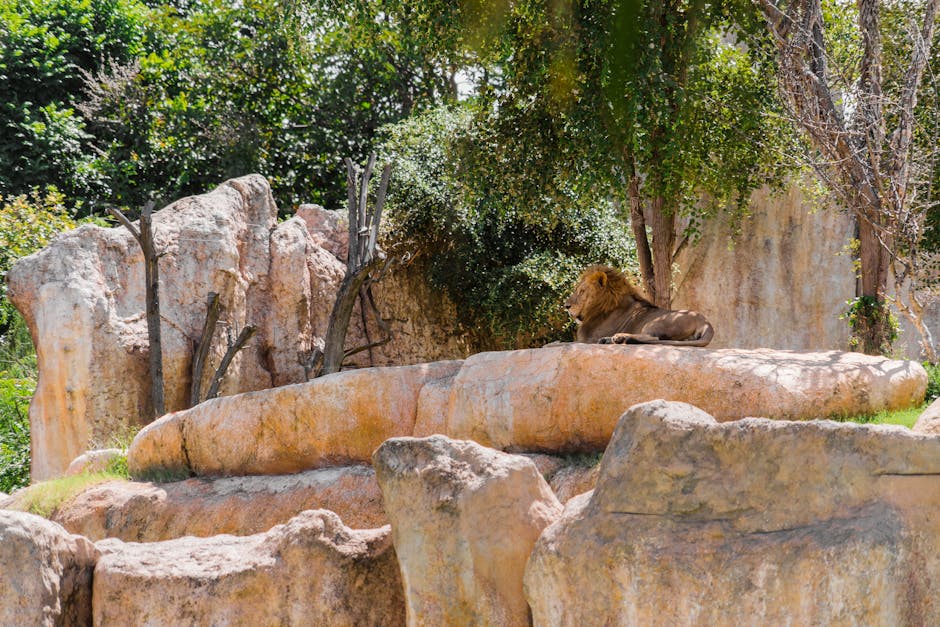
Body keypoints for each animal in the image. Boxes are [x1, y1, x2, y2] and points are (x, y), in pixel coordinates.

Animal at [564, 265, 714, 346]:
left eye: (581, 291)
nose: (566, 306)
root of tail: (707, 323)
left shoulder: (589, 338)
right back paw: (611, 339)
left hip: (655, 322)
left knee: (653, 338)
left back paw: (620, 338)